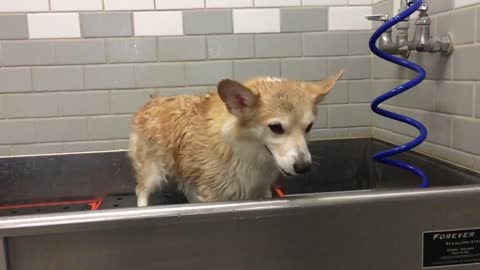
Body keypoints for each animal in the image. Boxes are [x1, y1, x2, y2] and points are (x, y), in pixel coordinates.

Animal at [129, 70, 344, 207]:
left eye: (309, 127)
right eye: (276, 128)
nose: (303, 167)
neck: (245, 152)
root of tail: (152, 101)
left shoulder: (260, 191)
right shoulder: (215, 195)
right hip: (153, 171)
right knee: (141, 190)